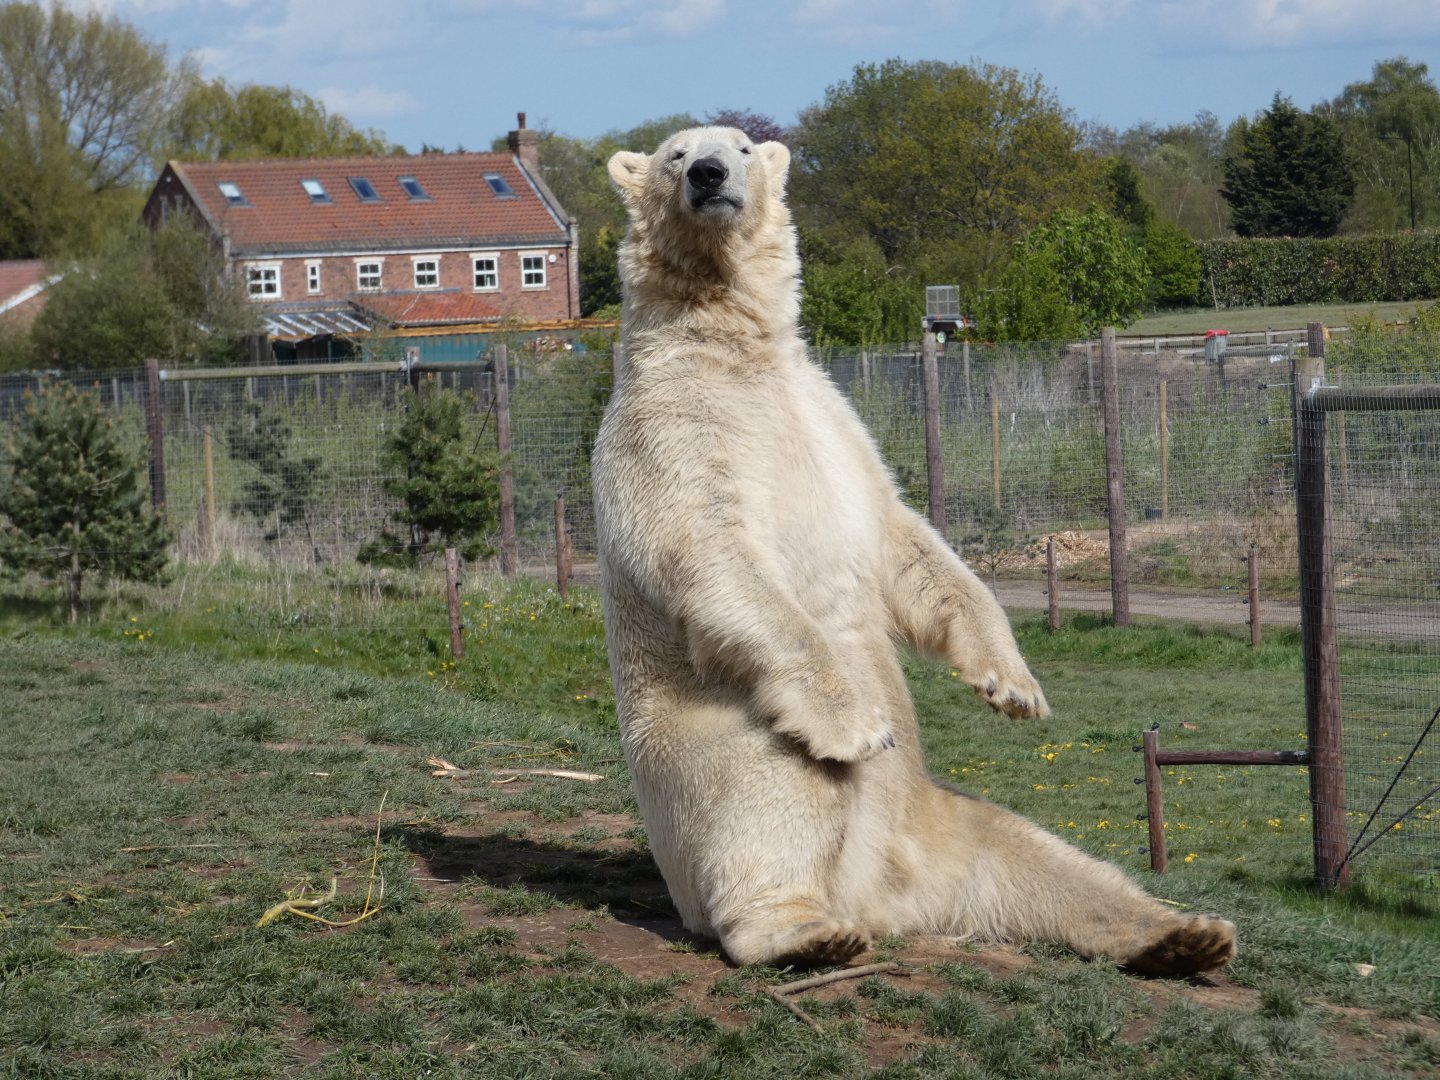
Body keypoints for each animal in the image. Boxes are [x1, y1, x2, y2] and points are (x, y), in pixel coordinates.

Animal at [592, 125, 1236, 976]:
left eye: (738, 148)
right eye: (674, 155)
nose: (708, 174)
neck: (731, 350)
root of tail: (880, 892)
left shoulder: (832, 419)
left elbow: (895, 532)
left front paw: (1012, 685)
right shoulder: (670, 431)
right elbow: (711, 550)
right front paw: (857, 725)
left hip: (939, 822)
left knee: (1036, 860)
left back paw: (1184, 934)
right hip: (719, 748)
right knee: (776, 804)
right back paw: (805, 930)